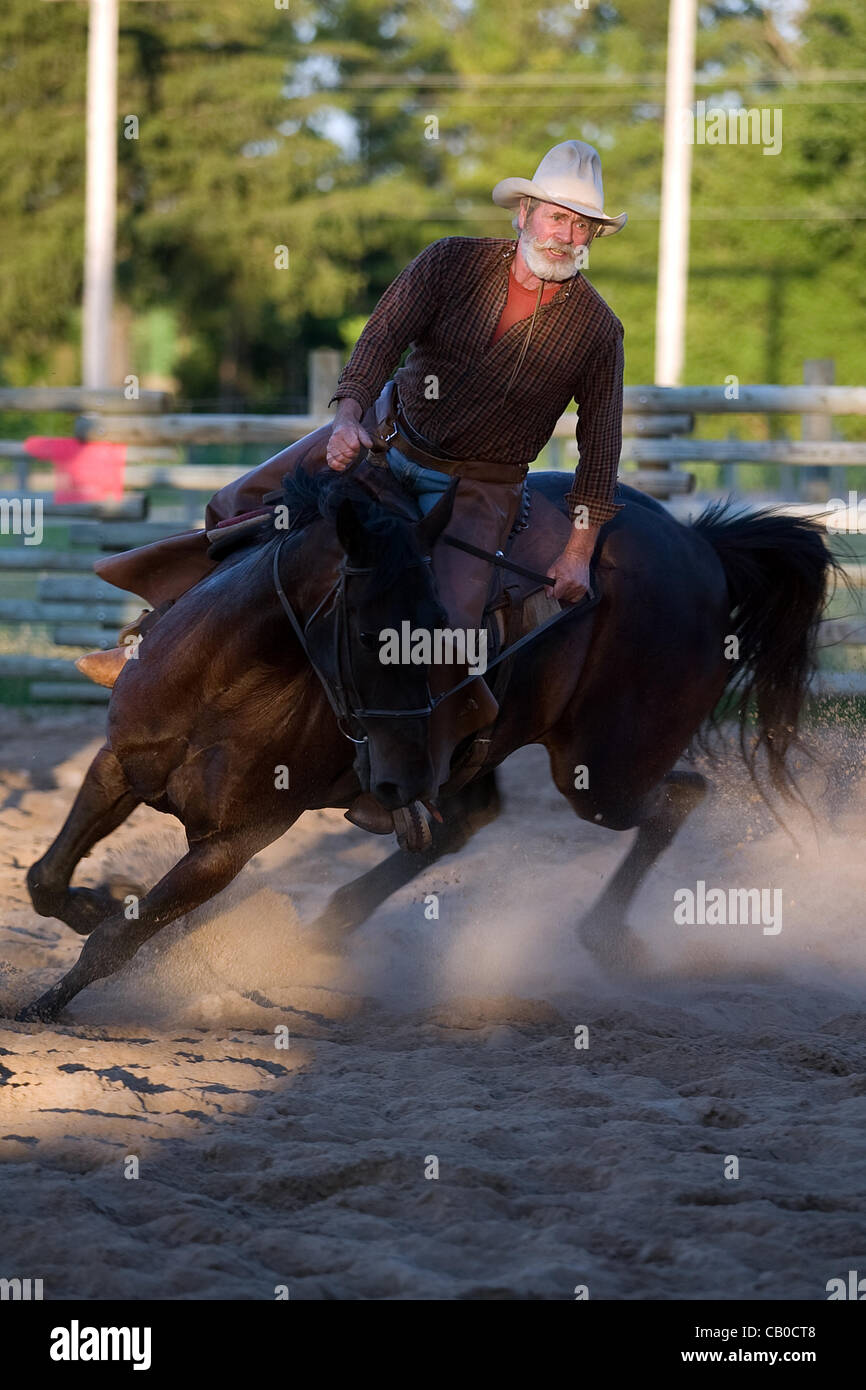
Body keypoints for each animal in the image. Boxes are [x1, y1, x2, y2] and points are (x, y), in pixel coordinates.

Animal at [16, 462, 833, 1023]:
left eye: (441, 629)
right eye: (375, 633)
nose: (399, 753)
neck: (224, 683)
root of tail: (702, 545)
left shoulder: (235, 841)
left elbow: (121, 938)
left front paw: (43, 1006)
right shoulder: (116, 765)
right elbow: (47, 880)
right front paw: (94, 900)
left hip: (600, 771)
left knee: (677, 795)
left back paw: (607, 937)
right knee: (461, 824)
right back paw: (333, 922)